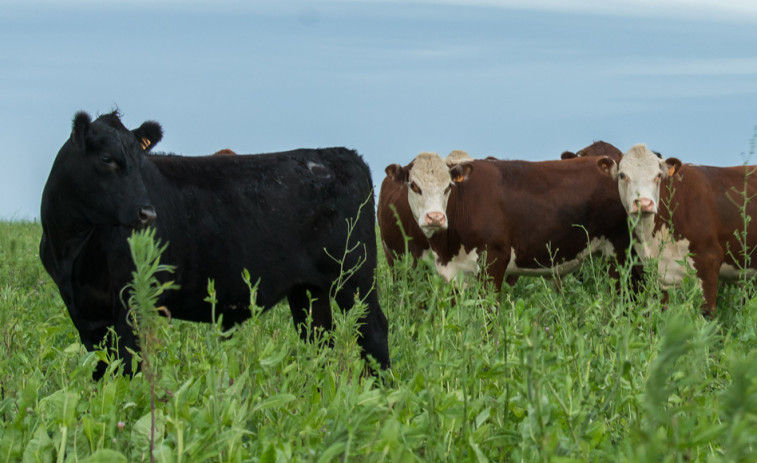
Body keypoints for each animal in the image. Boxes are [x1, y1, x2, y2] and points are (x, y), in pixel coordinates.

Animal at [39, 110, 390, 378]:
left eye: (141, 161)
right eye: (106, 158)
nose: (147, 213)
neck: (74, 248)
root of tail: (337, 153)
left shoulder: (132, 302)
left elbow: (127, 365)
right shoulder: (84, 313)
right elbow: (101, 368)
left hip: (354, 276)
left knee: (372, 329)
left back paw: (380, 391)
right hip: (308, 288)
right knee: (319, 338)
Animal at [384, 152, 632, 290]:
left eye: (448, 187)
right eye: (414, 186)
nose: (435, 217)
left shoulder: (494, 259)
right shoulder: (454, 272)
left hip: (621, 252)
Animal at [596, 144, 756, 320]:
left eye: (658, 175)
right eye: (622, 175)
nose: (644, 203)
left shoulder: (708, 263)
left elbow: (706, 314)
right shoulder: (654, 274)